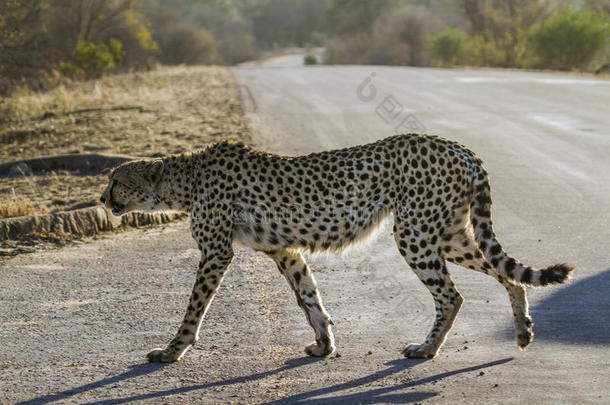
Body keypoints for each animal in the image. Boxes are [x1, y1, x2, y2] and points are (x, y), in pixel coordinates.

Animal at [100, 134, 568, 362]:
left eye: (116, 180)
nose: (102, 199)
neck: (186, 180)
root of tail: (458, 147)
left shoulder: (216, 252)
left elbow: (193, 309)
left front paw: (171, 351)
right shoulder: (285, 250)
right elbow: (309, 297)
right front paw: (324, 345)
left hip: (416, 234)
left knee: (452, 296)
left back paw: (426, 350)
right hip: (448, 234)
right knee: (508, 274)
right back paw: (523, 330)